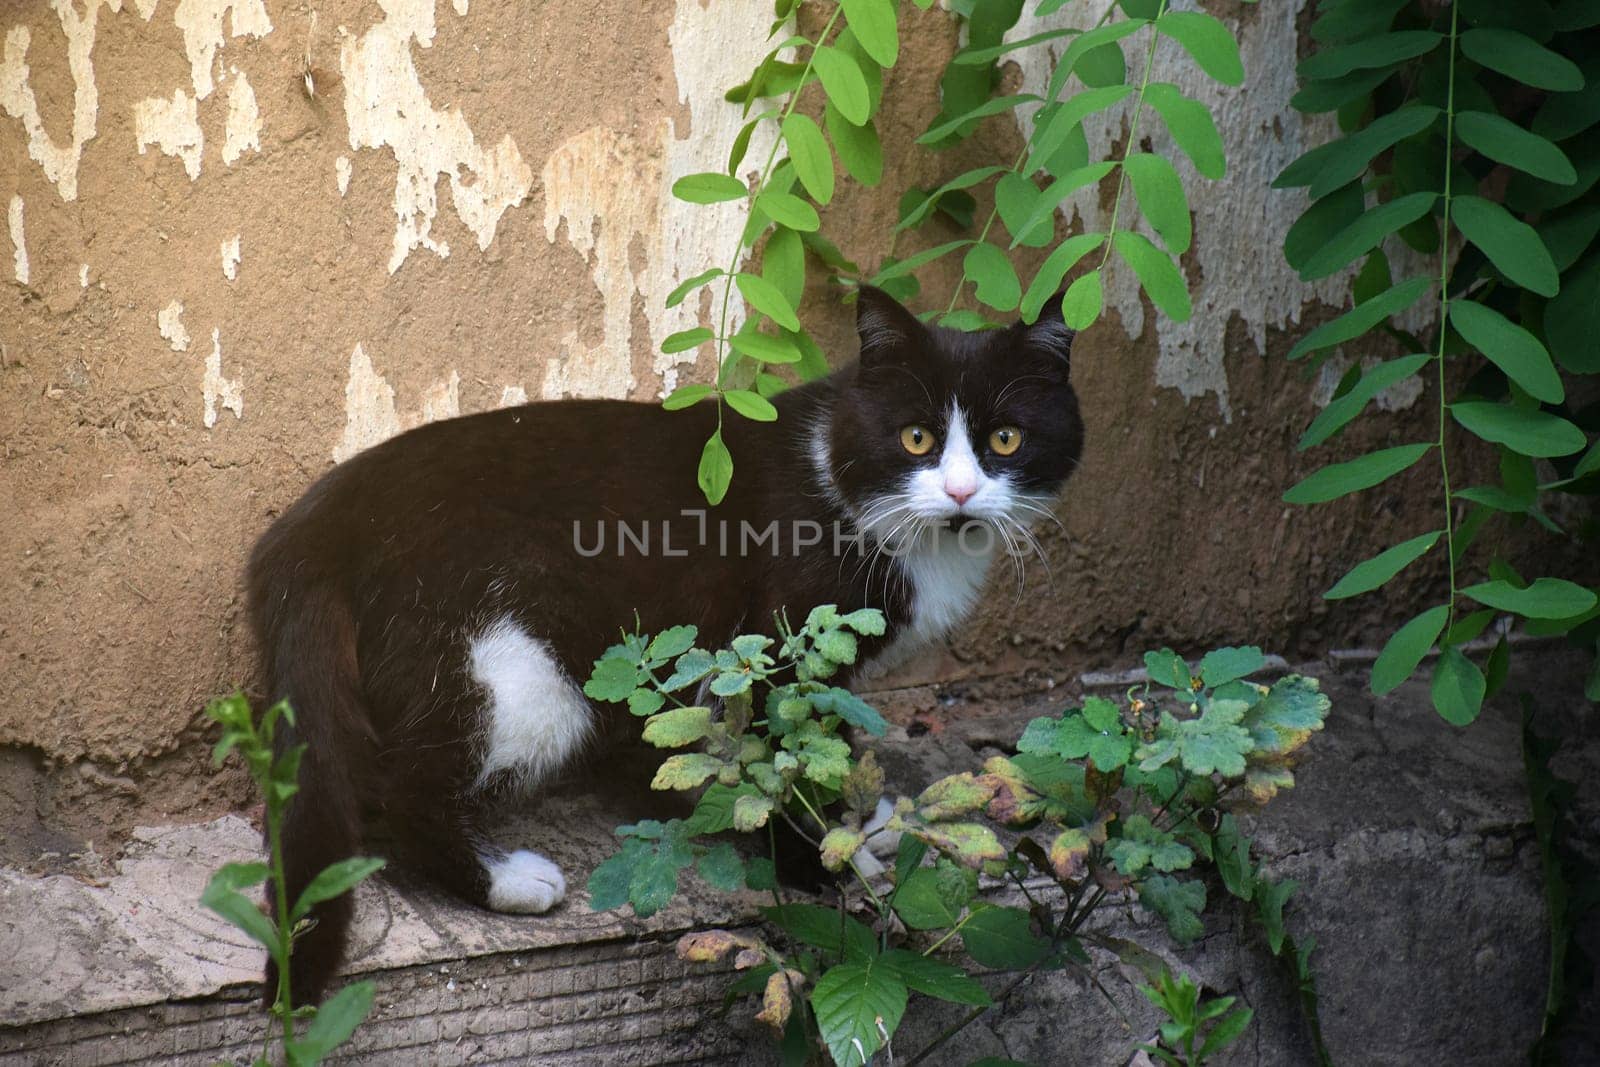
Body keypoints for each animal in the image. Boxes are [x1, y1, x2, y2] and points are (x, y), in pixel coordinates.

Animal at [243, 287, 1081, 998]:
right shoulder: (780, 635)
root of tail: (316, 524)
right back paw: (505, 880)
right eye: (915, 437)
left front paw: (854, 821)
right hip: (509, 658)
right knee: (402, 785)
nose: (962, 492)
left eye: (1007, 437)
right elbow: (782, 754)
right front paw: (815, 864)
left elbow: (823, 737)